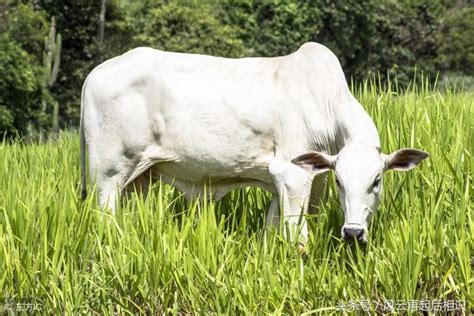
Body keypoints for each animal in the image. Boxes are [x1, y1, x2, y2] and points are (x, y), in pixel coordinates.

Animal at [79, 42, 428, 242]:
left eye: (377, 180)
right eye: (341, 181)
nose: (353, 232)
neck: (327, 100)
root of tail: (94, 73)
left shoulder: (300, 181)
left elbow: (273, 232)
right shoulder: (293, 174)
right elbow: (297, 238)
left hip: (141, 178)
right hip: (107, 177)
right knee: (105, 220)